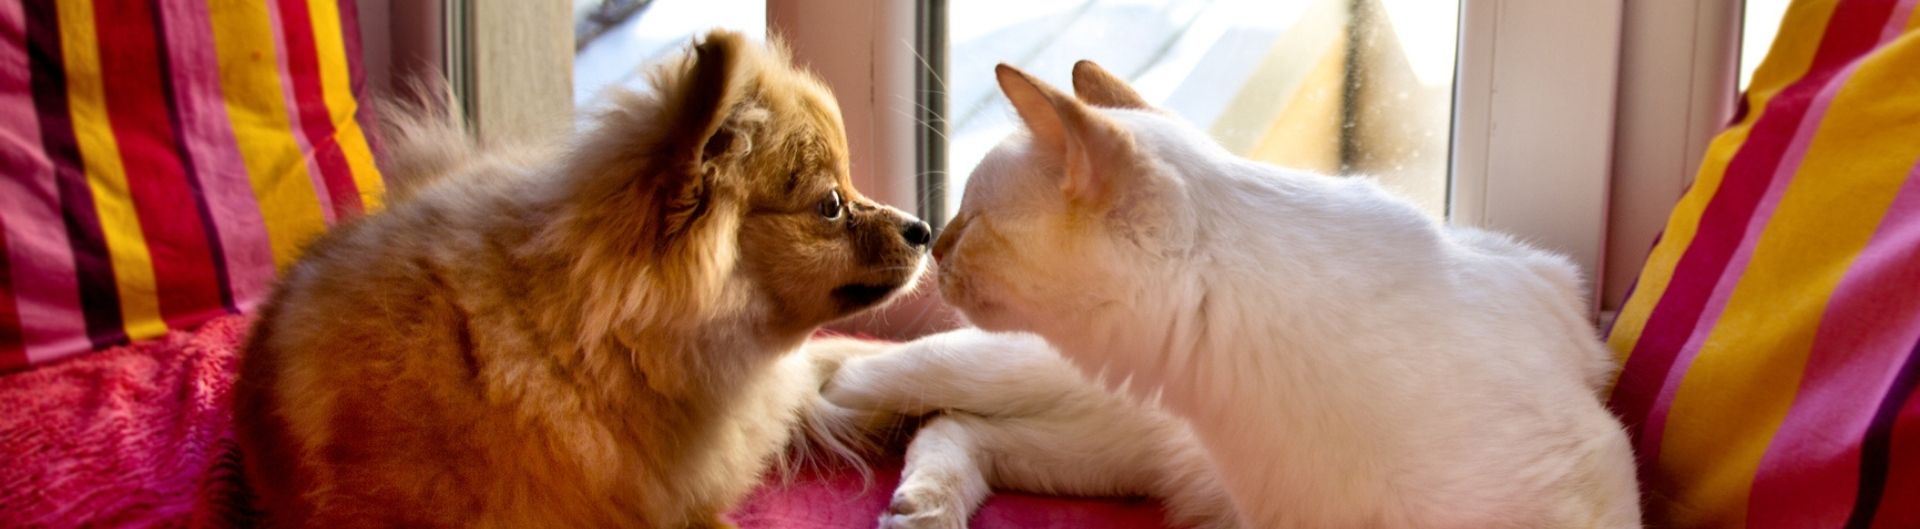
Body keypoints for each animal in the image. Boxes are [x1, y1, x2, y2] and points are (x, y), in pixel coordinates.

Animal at [833, 63, 1643, 529]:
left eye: (970, 220)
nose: (933, 243)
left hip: (1105, 451)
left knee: (956, 425)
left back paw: (925, 507)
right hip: (1025, 387)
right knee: (862, 382)